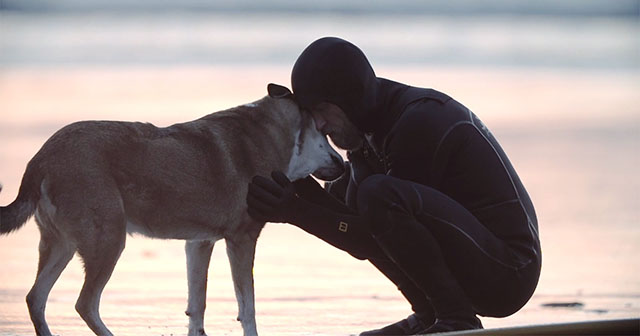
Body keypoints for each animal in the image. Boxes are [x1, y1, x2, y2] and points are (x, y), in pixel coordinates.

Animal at [0, 84, 344, 336]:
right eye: (324, 132)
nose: (343, 165)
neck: (272, 135)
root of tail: (41, 158)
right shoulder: (241, 239)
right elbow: (247, 307)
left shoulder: (199, 242)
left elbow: (197, 305)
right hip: (108, 240)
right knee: (85, 304)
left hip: (62, 244)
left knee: (36, 299)